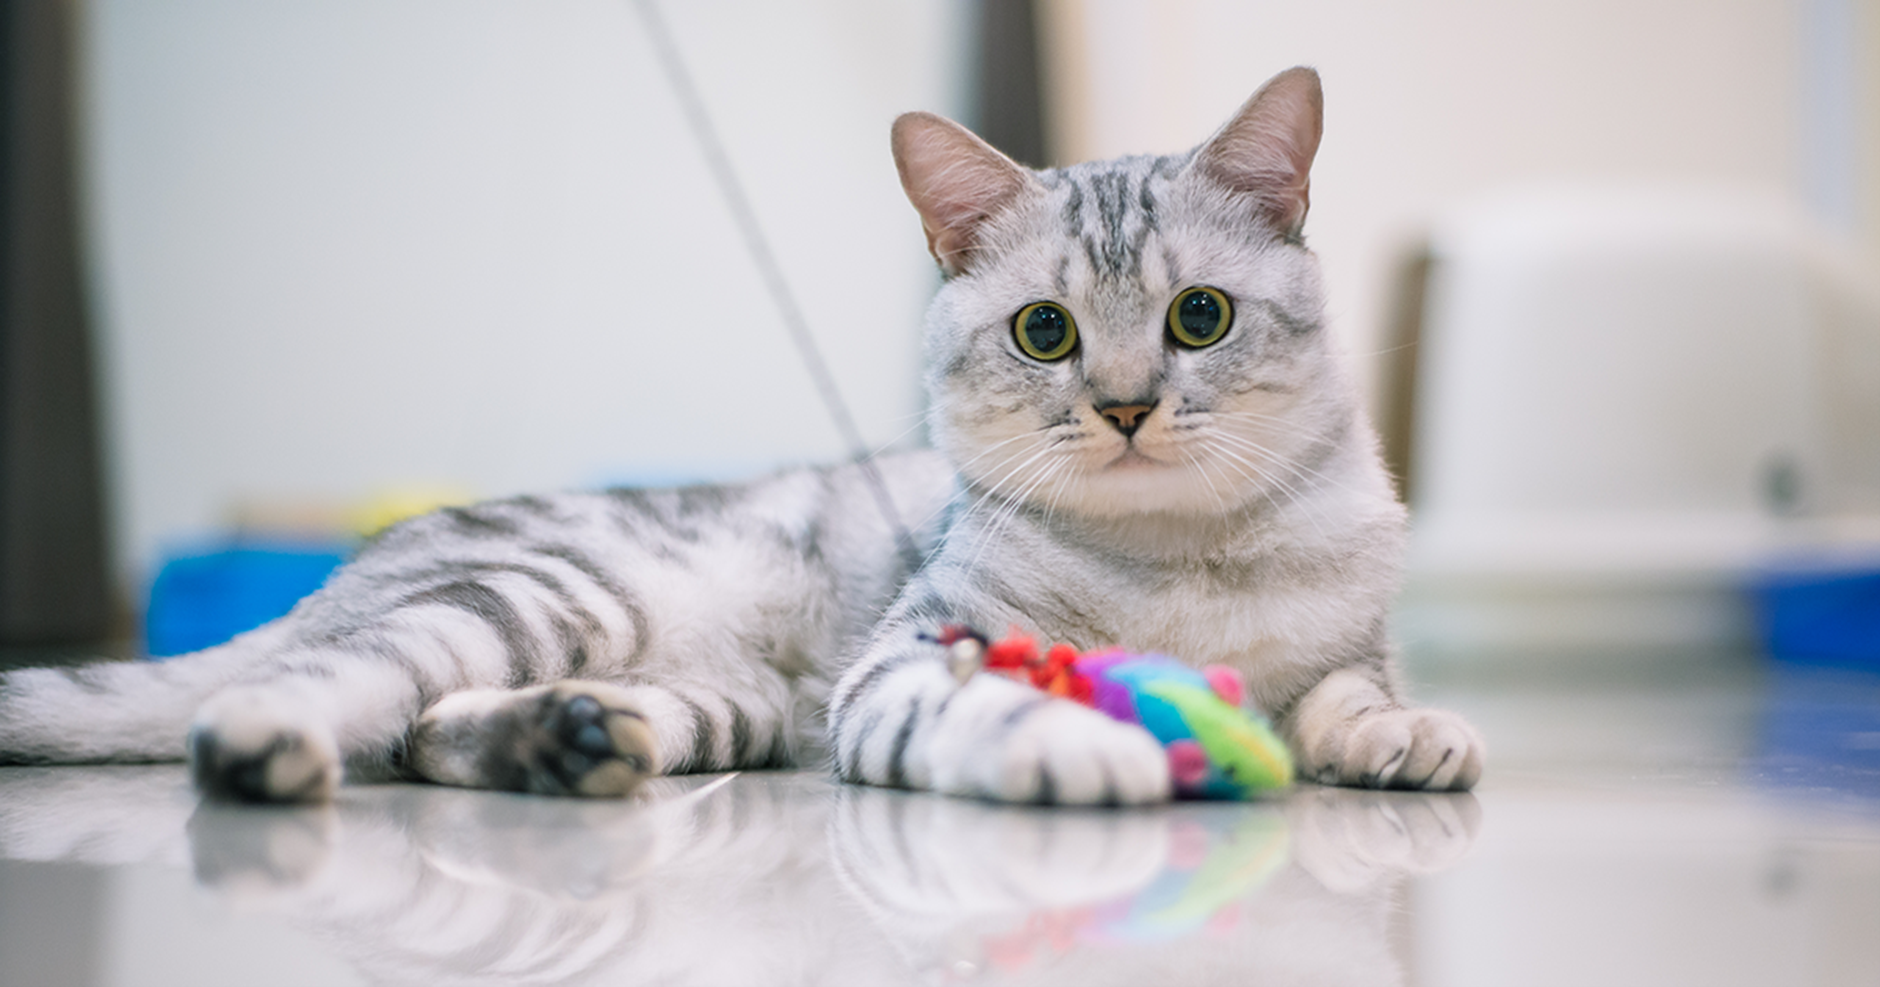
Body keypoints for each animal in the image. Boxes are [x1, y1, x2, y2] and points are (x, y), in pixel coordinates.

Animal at [0, 67, 1481, 800]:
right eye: (1045, 333)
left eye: (1199, 315)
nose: (1122, 406)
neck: (1182, 560)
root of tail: (336, 577)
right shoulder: (909, 658)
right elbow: (986, 700)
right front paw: (1076, 741)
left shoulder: (1346, 645)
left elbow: (1350, 689)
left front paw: (1405, 734)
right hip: (532, 599)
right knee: (338, 692)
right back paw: (272, 739)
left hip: (723, 708)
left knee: (423, 732)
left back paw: (565, 744)